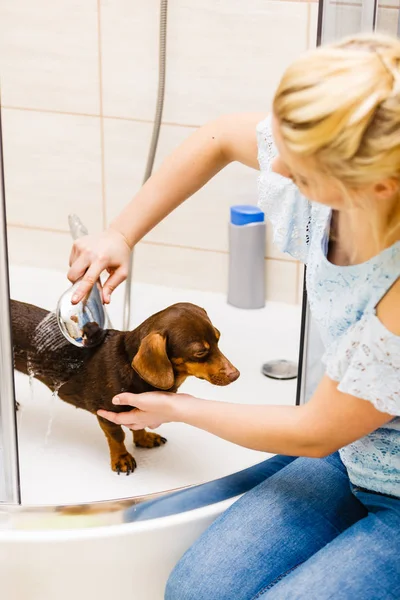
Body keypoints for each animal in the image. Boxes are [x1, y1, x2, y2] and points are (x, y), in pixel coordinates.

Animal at [10, 300, 239, 474]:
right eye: (200, 352)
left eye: (218, 338)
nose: (236, 374)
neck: (131, 366)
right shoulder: (106, 414)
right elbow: (117, 437)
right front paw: (121, 458)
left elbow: (137, 425)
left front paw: (144, 438)